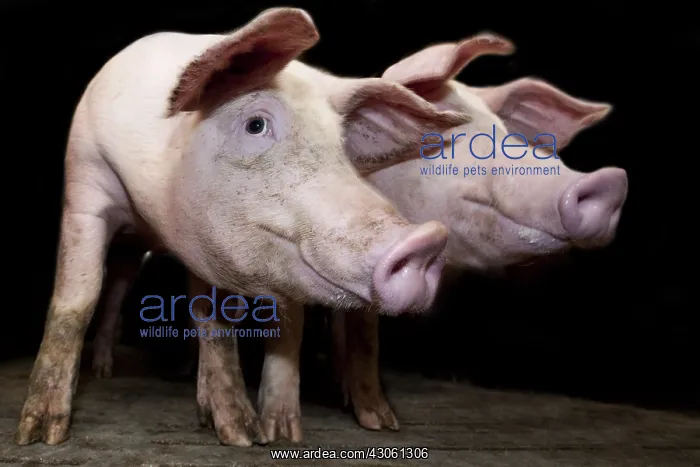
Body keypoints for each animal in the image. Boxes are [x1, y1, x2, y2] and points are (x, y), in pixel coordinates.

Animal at [15, 7, 473, 447]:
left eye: (341, 147)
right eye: (256, 124)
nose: (425, 240)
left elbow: (235, 323)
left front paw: (260, 436)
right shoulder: (86, 182)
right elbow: (76, 299)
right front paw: (39, 436)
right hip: (130, 247)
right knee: (117, 287)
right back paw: (105, 371)